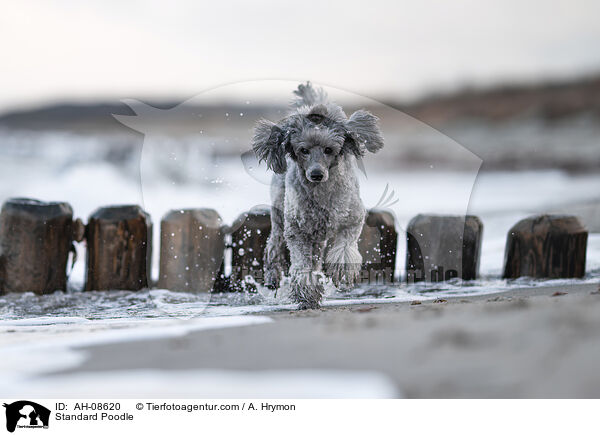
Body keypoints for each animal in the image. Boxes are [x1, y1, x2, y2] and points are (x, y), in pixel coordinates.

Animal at [252, 82, 384, 310]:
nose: (316, 174)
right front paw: (306, 292)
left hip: (318, 235)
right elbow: (302, 266)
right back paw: (272, 277)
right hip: (280, 215)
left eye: (329, 150)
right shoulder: (297, 231)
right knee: (274, 246)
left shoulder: (353, 219)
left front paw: (339, 272)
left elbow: (344, 248)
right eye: (303, 150)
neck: (321, 194)